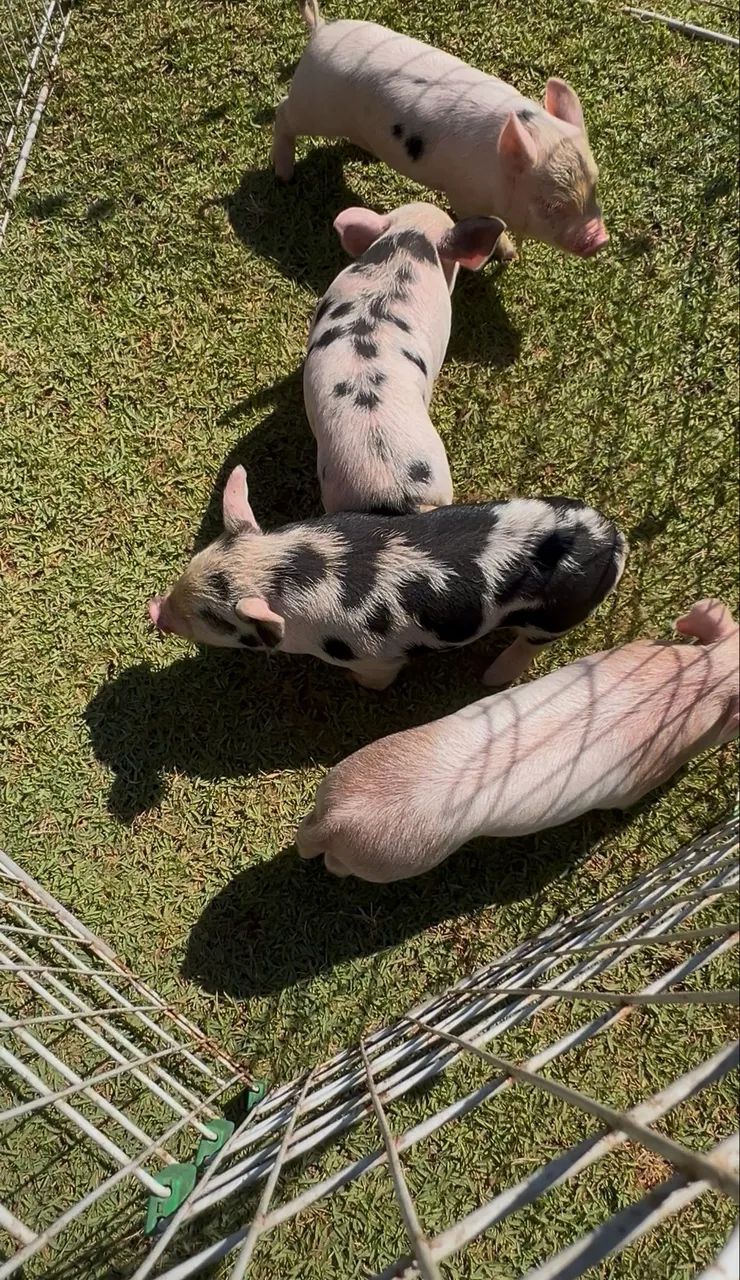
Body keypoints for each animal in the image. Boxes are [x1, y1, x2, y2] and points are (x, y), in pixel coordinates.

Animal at [148, 464, 627, 691]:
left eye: (215, 619)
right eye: (191, 565)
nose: (155, 610)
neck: (291, 569)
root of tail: (612, 538)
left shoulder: (375, 655)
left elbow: (377, 677)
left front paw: (353, 685)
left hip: (555, 617)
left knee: (530, 646)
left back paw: (490, 679)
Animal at [272, 2, 607, 261]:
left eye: (594, 184)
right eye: (550, 205)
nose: (600, 239)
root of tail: (320, 30)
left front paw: (511, 256)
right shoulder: (464, 195)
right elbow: (487, 221)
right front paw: (509, 254)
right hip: (314, 106)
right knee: (283, 113)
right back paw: (284, 176)